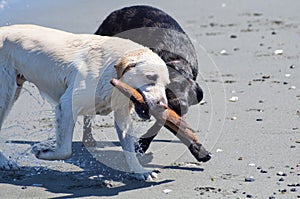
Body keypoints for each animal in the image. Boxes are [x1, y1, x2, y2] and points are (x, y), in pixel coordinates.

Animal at [84, 5, 205, 153]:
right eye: (174, 86)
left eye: (191, 96)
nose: (182, 105)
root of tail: (117, 12)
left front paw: (144, 143)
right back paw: (88, 138)